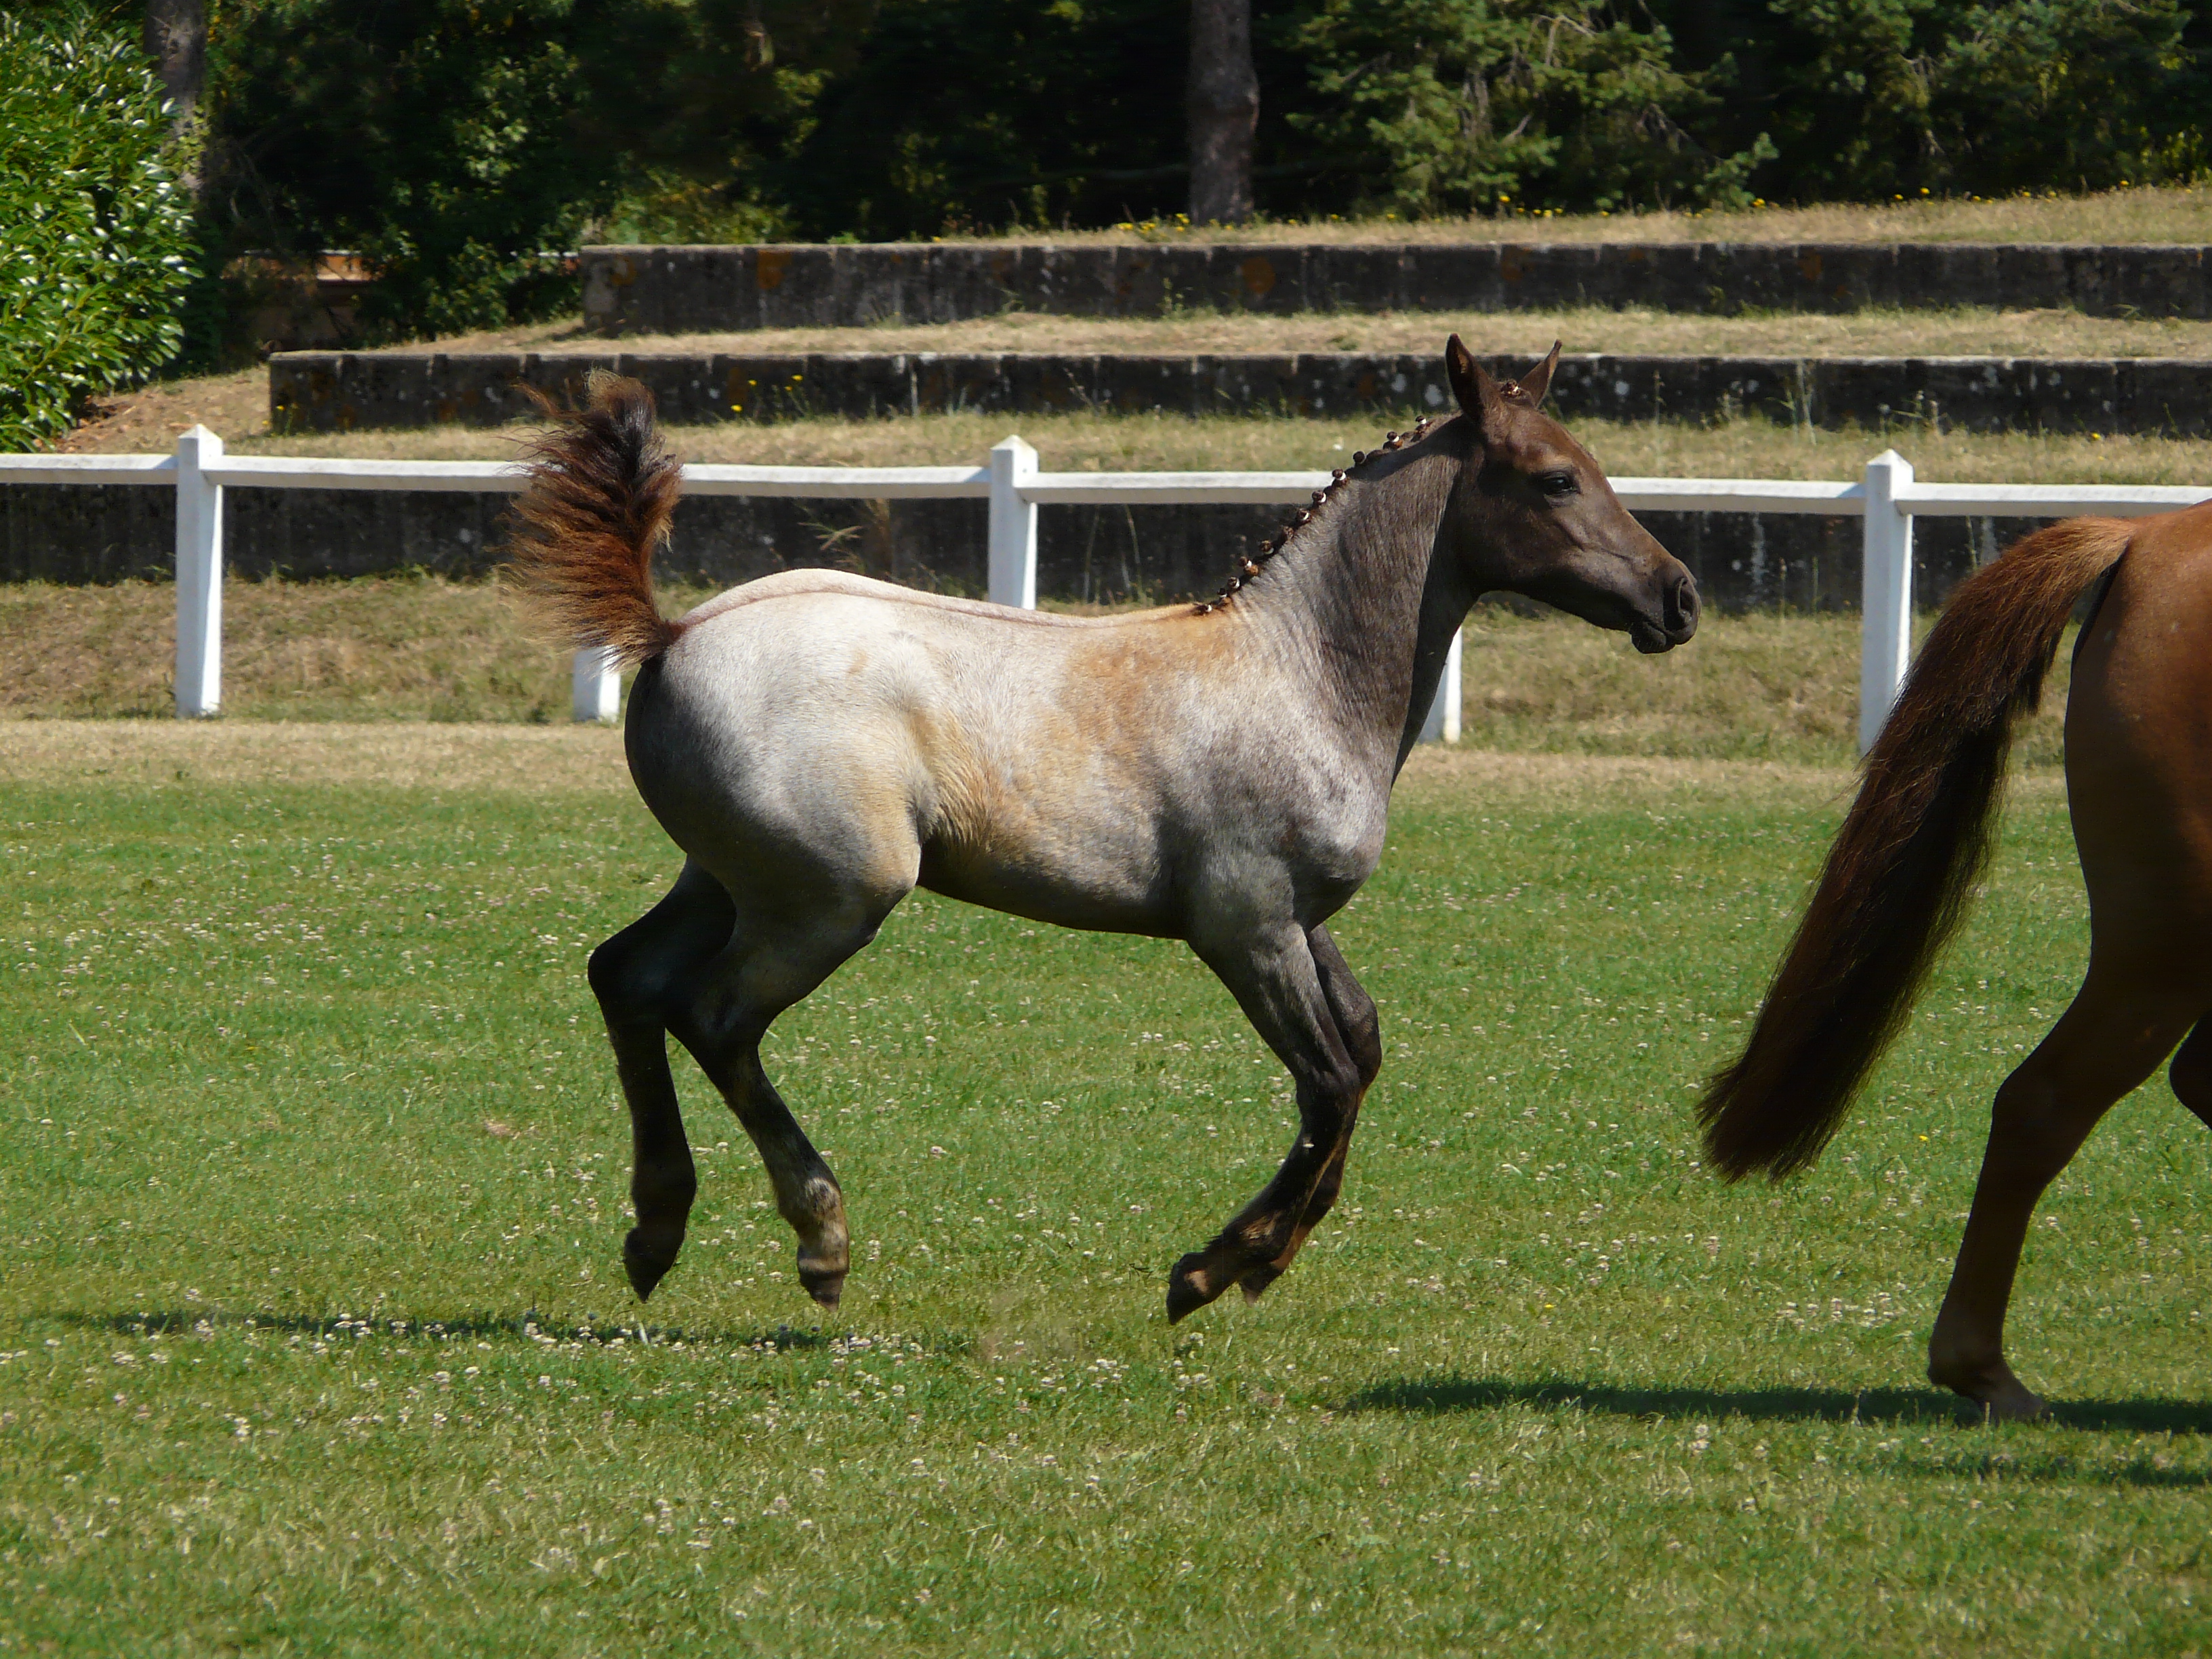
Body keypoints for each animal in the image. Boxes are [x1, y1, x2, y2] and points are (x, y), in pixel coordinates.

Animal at [508, 338, 1698, 1327]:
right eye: (1555, 478)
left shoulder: (1298, 921)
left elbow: (1360, 1053)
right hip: (831, 900)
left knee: (626, 978)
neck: (1296, 673)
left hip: (726, 879)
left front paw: (1264, 1259)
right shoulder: (1245, 929)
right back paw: (820, 1239)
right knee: (713, 1017)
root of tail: (670, 633)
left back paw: (656, 1229)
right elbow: (1326, 1081)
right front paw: (1212, 1270)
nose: (1678, 598)